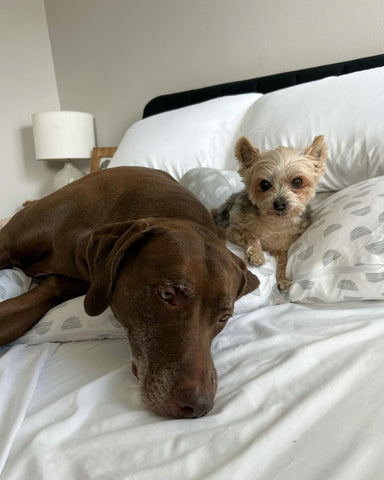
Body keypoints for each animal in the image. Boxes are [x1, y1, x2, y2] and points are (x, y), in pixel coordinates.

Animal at [213, 135, 328, 292]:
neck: (274, 222)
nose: (279, 204)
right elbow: (251, 234)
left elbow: (283, 259)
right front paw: (256, 255)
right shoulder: (233, 231)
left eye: (297, 181)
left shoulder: (283, 246)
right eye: (264, 184)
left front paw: (283, 278)